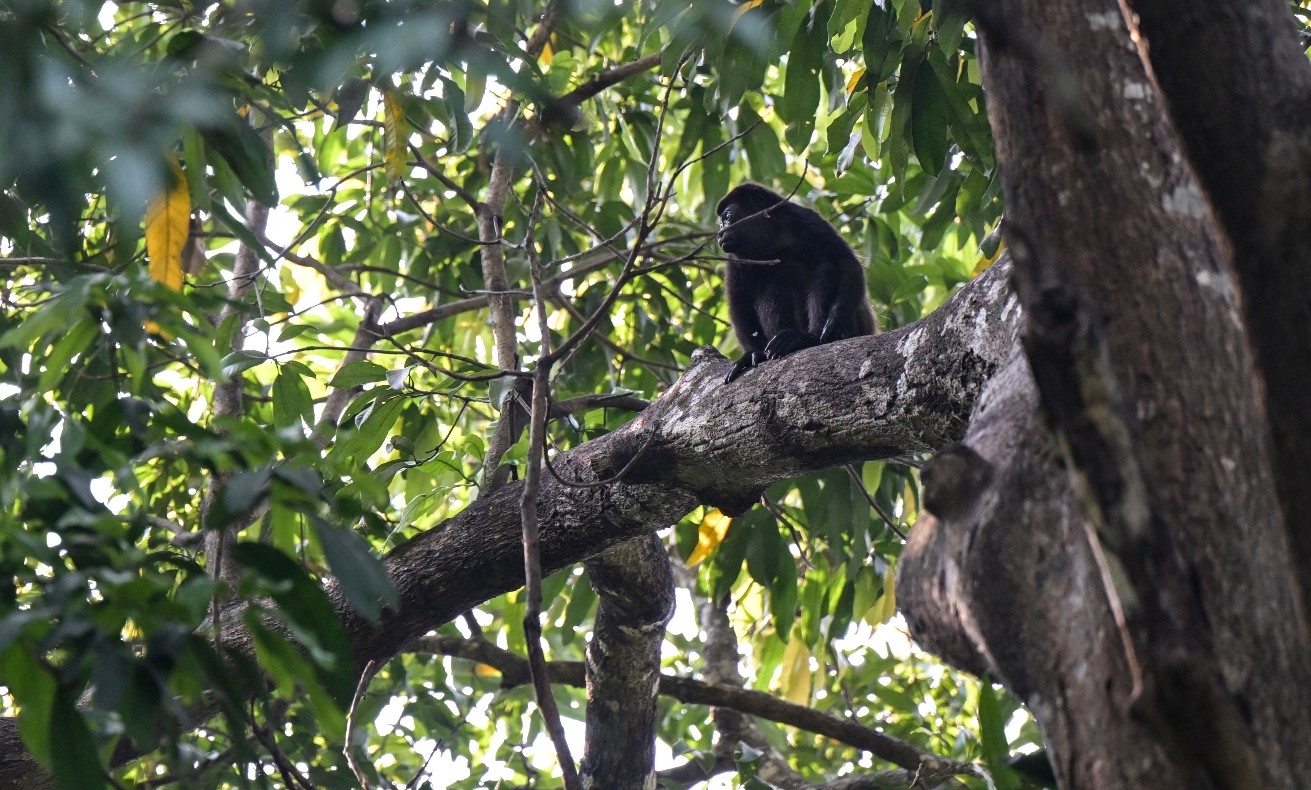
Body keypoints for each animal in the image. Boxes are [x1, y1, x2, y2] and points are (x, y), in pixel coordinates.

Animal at [713, 183, 875, 385]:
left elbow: (845, 261)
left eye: (727, 216)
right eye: (720, 222)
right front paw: (752, 355)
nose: (720, 233)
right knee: (775, 285)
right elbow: (740, 303)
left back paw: (809, 339)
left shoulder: (805, 218)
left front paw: (836, 321)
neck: (770, 239)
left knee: (825, 267)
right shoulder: (735, 259)